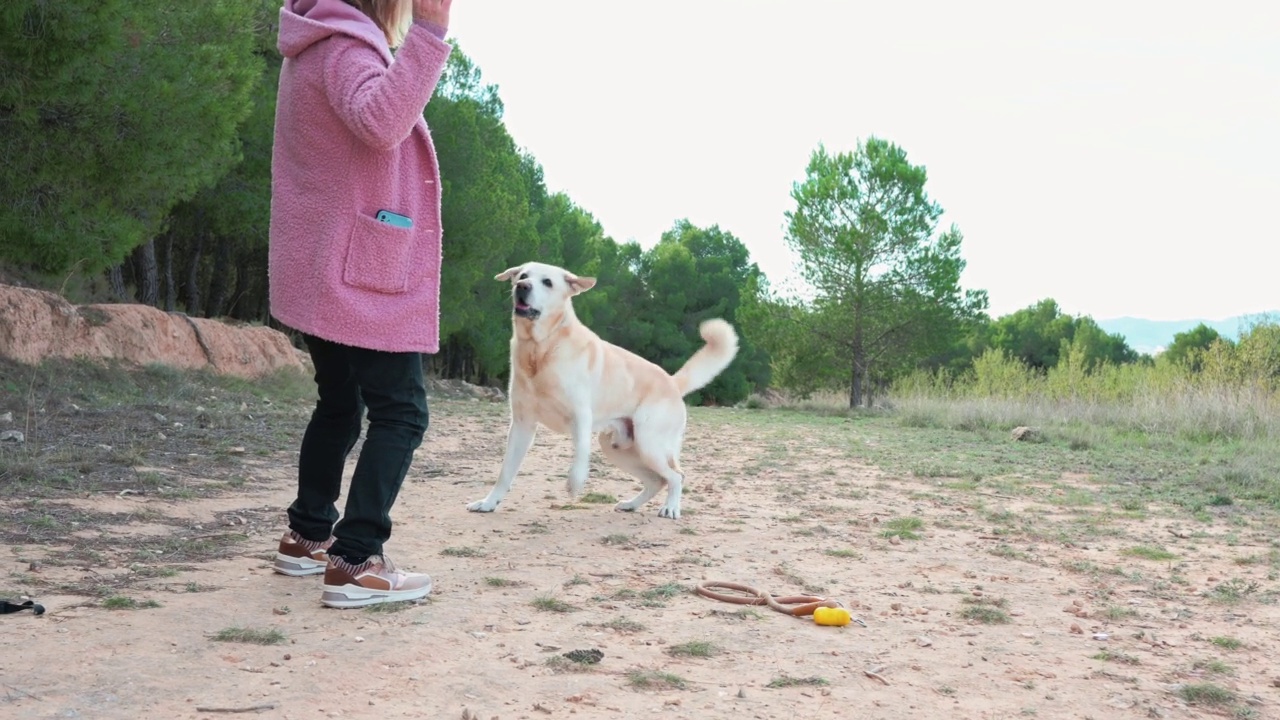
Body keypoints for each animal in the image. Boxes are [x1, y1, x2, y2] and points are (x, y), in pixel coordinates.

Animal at [465, 260, 737, 517]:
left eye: (547, 282)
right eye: (522, 276)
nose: (522, 287)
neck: (540, 349)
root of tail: (672, 381)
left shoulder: (581, 416)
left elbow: (580, 455)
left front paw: (575, 483)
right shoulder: (522, 424)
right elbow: (505, 472)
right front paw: (488, 503)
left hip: (650, 444)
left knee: (676, 476)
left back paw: (670, 508)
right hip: (619, 449)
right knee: (657, 480)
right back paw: (631, 504)